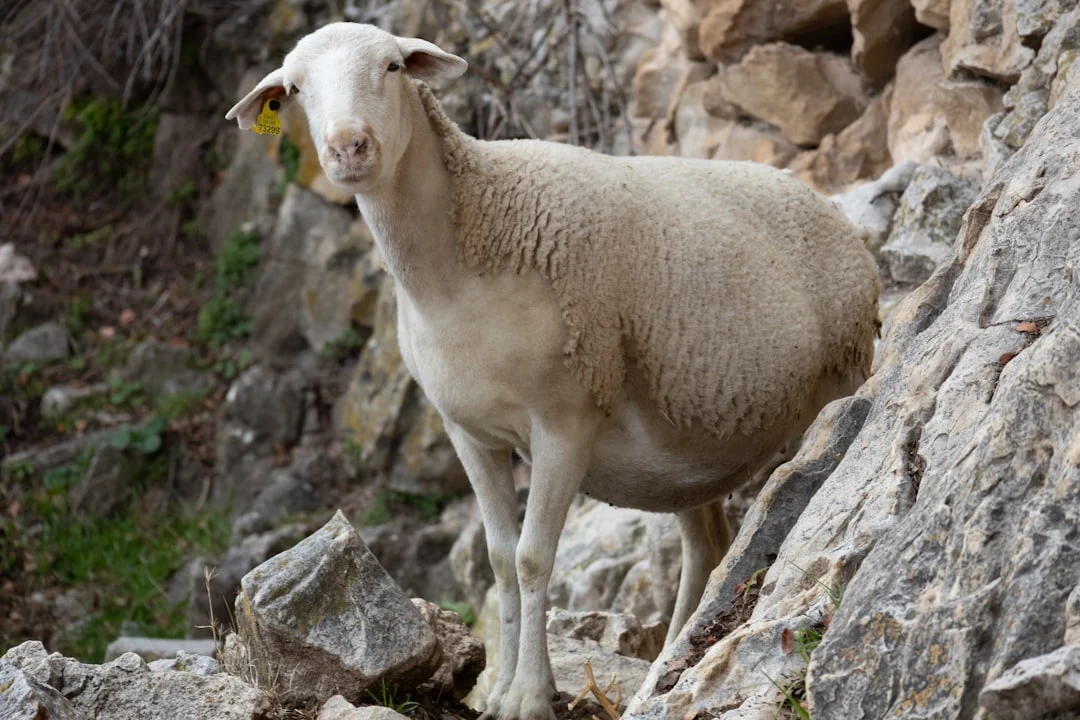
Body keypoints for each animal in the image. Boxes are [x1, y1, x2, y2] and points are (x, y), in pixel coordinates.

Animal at [226, 22, 880, 720]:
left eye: (395, 66)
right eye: (295, 89)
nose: (348, 146)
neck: (462, 256)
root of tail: (824, 204)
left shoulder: (564, 419)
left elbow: (535, 559)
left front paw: (528, 696)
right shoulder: (469, 432)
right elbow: (499, 560)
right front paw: (500, 690)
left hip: (842, 373)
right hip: (689, 438)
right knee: (706, 543)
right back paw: (667, 659)